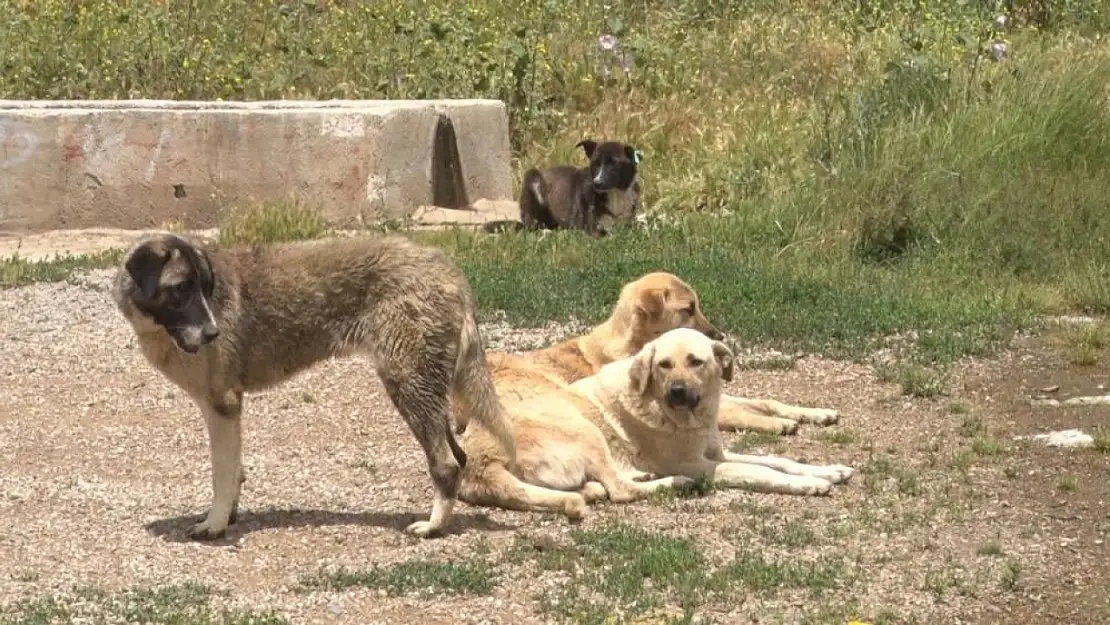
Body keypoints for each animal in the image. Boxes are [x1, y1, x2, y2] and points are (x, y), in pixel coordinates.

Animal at [110, 232, 517, 539]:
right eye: (181, 288)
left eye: (204, 288)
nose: (213, 334)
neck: (160, 327)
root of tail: (449, 271)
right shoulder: (227, 410)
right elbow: (235, 469)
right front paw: (230, 515)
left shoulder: (222, 405)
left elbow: (222, 473)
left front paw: (214, 524)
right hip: (427, 390)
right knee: (459, 457)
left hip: (409, 384)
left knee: (445, 463)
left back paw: (432, 528)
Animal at [455, 271, 834, 437]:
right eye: (688, 309)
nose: (719, 336)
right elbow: (745, 412)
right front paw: (779, 423)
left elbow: (765, 401)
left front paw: (813, 412)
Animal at [455, 326, 852, 521]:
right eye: (663, 365)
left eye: (695, 361)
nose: (677, 391)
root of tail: (479, 463)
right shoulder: (701, 463)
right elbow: (760, 473)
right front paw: (809, 485)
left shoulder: (716, 453)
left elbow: (778, 459)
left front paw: (828, 470)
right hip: (585, 429)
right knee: (620, 490)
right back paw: (672, 484)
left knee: (602, 487)